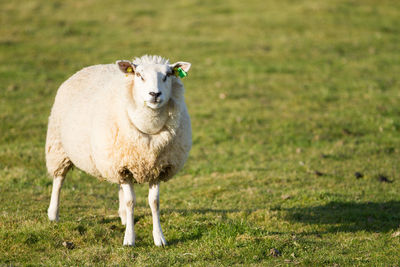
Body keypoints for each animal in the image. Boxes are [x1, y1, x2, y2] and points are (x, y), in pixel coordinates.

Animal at [45, 55, 192, 247]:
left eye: (168, 75)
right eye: (139, 75)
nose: (155, 94)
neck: (149, 129)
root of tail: (91, 66)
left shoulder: (155, 167)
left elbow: (154, 202)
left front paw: (159, 237)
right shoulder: (122, 166)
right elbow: (131, 202)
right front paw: (129, 239)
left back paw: (123, 217)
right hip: (59, 146)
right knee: (59, 180)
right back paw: (53, 214)